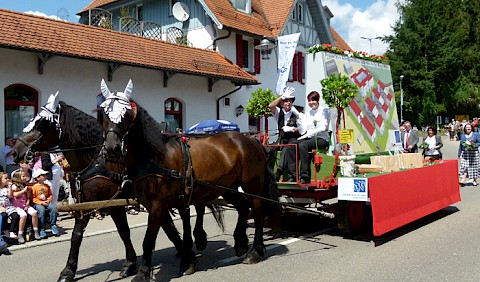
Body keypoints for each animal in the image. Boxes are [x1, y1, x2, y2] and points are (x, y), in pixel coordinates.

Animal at [11, 96, 221, 280]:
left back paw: (198, 239)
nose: (15, 152)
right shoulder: (88, 203)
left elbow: (128, 230)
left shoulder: (114, 203)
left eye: (41, 124)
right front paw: (69, 271)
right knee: (186, 213)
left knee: (196, 209)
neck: (96, 159)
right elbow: (79, 235)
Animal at [97, 80, 278, 282]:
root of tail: (252, 141)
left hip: (252, 185)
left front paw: (143, 273)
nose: (111, 148)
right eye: (102, 113)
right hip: (228, 188)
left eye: (127, 114)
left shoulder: (158, 204)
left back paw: (256, 252)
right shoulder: (156, 205)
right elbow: (171, 233)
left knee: (257, 211)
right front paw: (187, 261)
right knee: (243, 208)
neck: (155, 158)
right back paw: (240, 242)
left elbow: (149, 240)